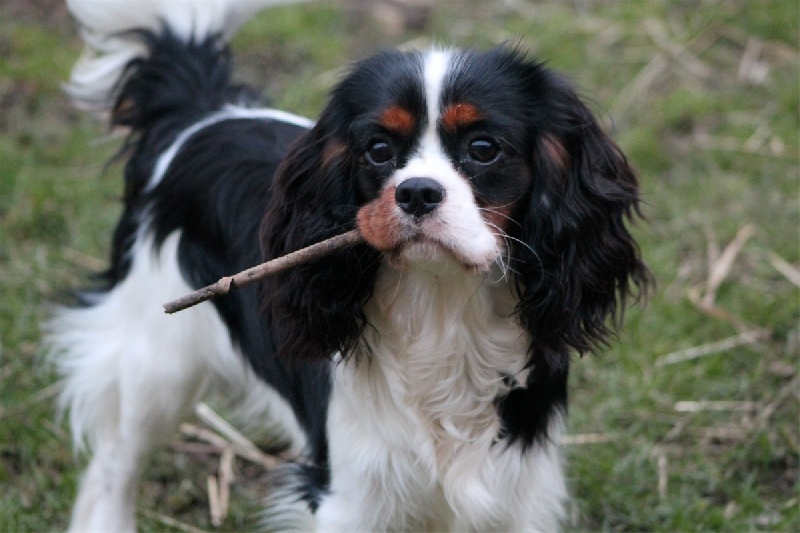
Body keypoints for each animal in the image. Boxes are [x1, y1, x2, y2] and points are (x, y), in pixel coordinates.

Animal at [48, 1, 648, 528]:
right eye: (378, 149)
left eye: (483, 148)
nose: (417, 192)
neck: (442, 309)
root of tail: (203, 113)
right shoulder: (352, 497)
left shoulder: (513, 493)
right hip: (154, 363)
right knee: (113, 465)